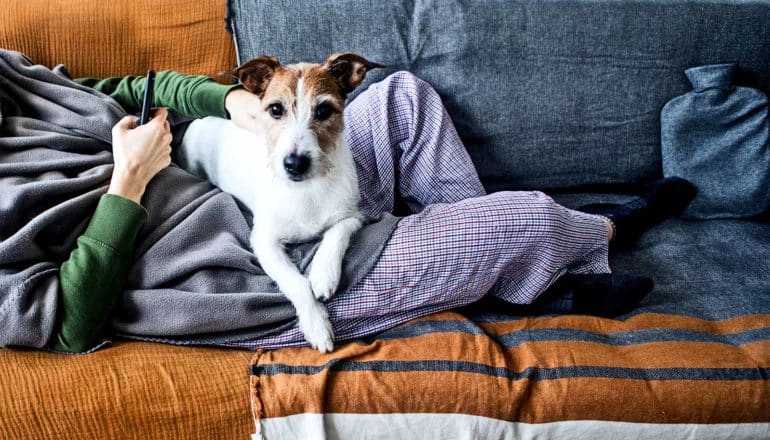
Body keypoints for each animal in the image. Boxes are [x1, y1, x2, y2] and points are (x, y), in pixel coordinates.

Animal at [176, 53, 384, 352]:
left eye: (324, 110)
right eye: (275, 109)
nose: (295, 163)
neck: (306, 190)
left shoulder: (353, 216)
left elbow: (336, 233)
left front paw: (323, 273)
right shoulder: (264, 243)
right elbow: (296, 283)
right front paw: (316, 325)